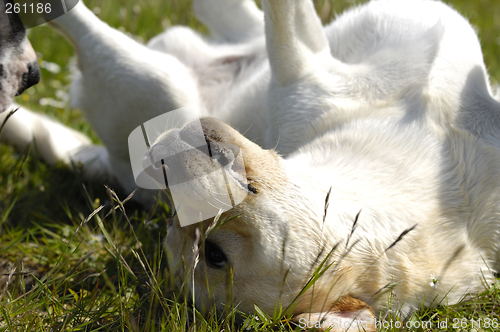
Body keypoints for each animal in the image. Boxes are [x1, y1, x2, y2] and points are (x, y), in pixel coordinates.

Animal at [0, 0, 500, 330]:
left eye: (213, 253)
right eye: (174, 222)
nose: (158, 166)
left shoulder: (302, 72)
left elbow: (284, 25)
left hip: (154, 84)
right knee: (234, 20)